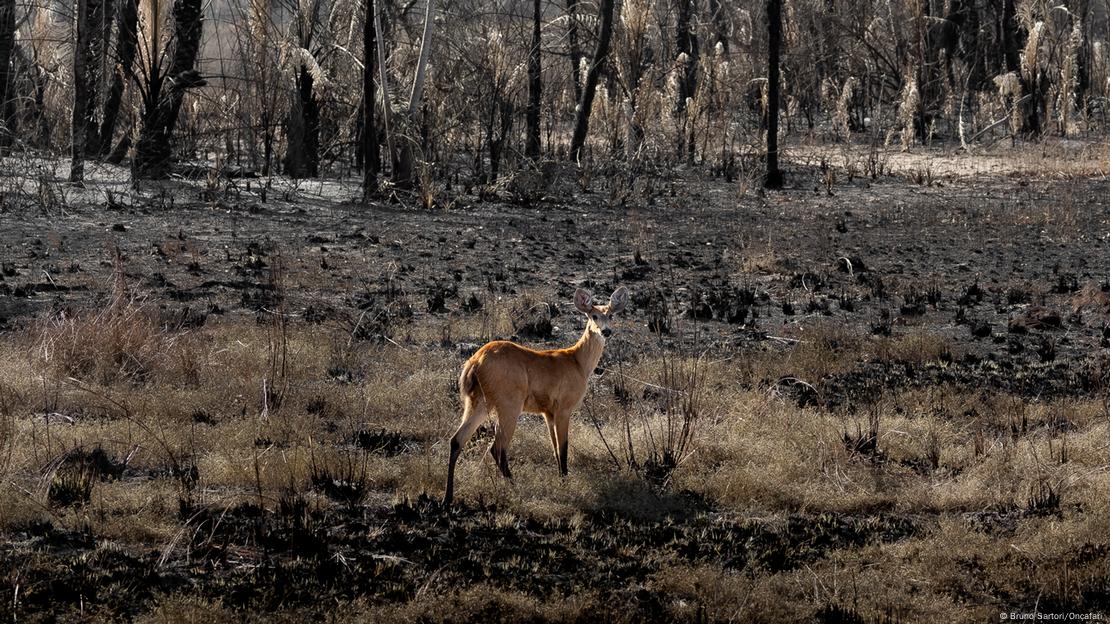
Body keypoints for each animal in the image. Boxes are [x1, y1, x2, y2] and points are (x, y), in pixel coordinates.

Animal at [444, 286, 634, 506]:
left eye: (610, 315)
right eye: (593, 315)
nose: (606, 331)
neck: (578, 362)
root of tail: (475, 361)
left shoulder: (547, 413)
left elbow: (555, 449)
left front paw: (561, 479)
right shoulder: (563, 408)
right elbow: (563, 448)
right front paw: (565, 482)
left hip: (478, 402)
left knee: (457, 440)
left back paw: (448, 498)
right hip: (509, 403)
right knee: (497, 447)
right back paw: (515, 488)